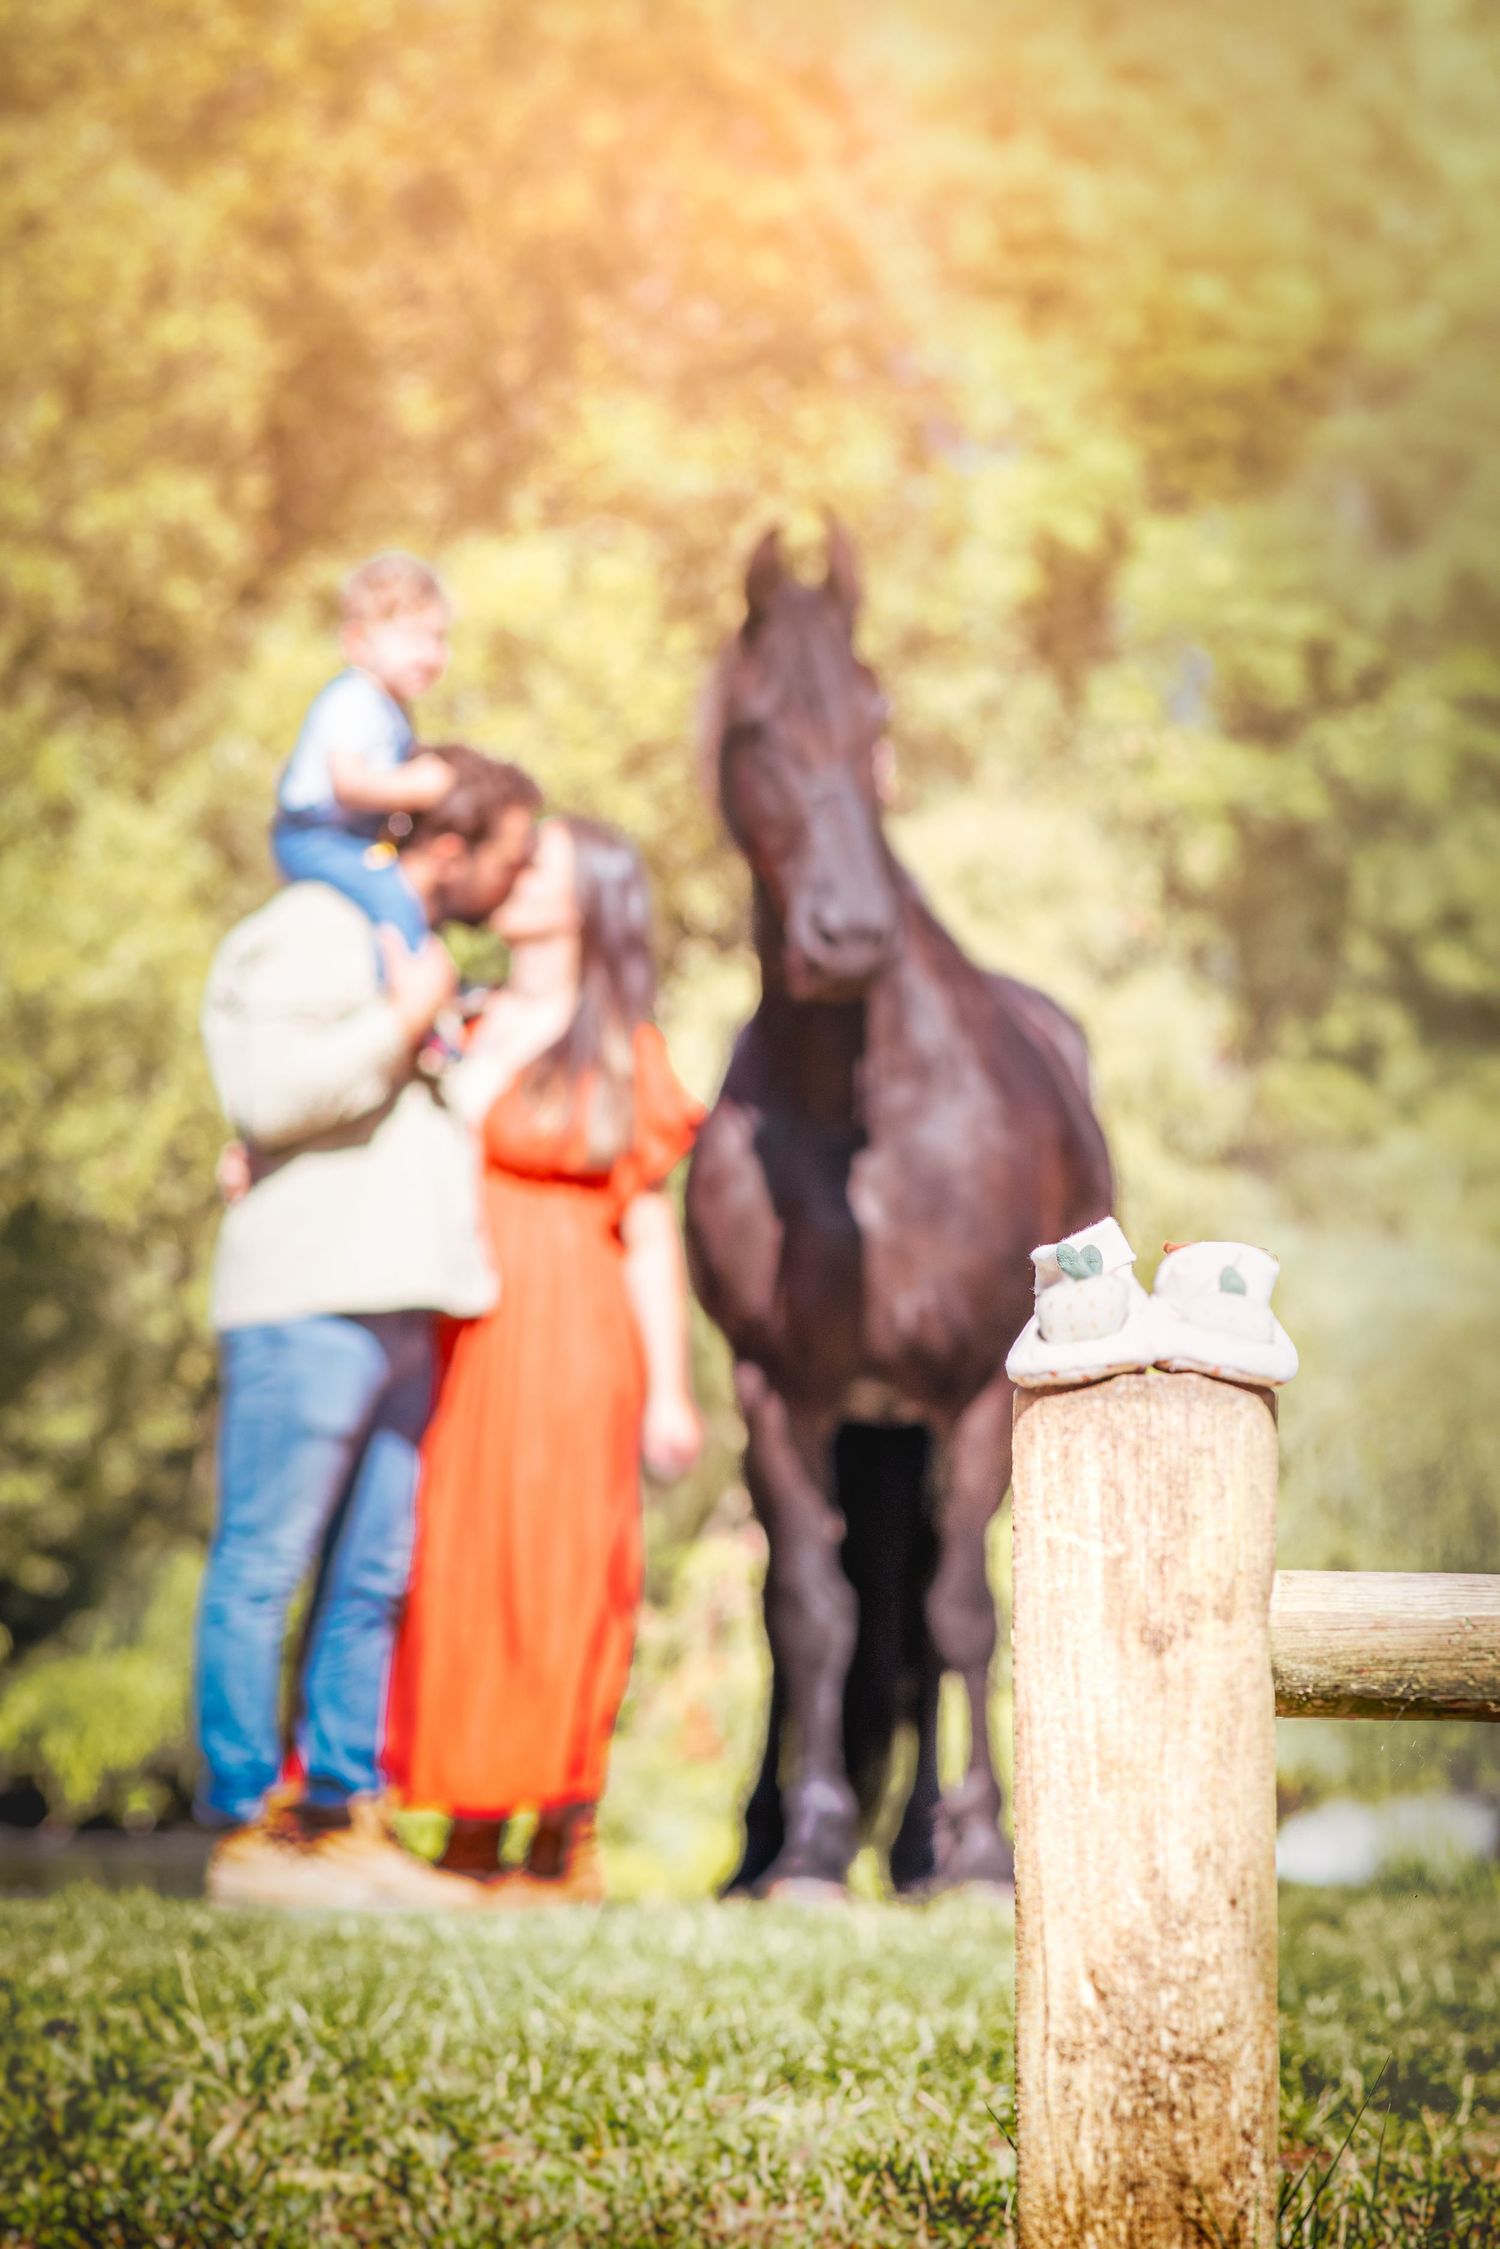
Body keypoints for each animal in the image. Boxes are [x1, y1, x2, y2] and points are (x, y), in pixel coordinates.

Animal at [684, 523, 1114, 1896]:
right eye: (758, 725)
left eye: (874, 714)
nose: (849, 933)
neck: (864, 1120)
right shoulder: (779, 1390)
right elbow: (810, 1612)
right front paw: (814, 1841)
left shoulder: (972, 1386)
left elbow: (960, 1613)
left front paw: (980, 1847)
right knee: (845, 1609)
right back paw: (791, 1836)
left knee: (927, 1614)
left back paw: (934, 1842)